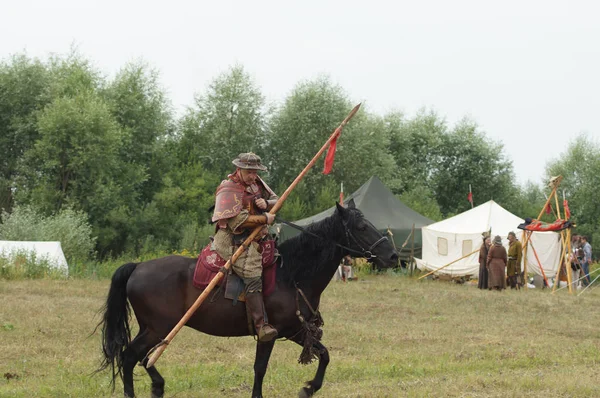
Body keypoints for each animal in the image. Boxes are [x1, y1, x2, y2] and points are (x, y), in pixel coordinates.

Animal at [98, 202, 398, 398]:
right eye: (361, 226)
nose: (393, 255)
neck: (292, 274)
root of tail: (138, 267)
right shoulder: (272, 333)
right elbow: (260, 368)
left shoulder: (295, 330)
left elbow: (323, 354)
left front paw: (309, 388)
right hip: (158, 328)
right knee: (130, 356)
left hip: (155, 329)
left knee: (141, 357)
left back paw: (158, 385)